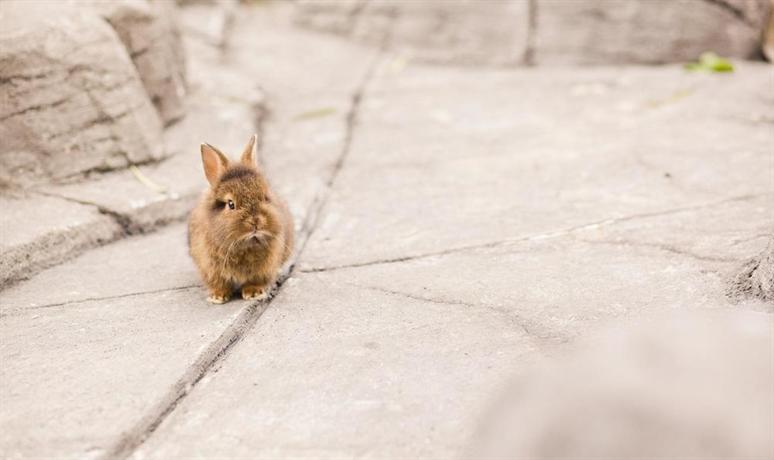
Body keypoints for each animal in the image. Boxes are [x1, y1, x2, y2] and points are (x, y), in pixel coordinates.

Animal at [189, 135, 296, 304]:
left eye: (264, 197)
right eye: (231, 204)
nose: (256, 221)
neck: (244, 243)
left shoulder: (264, 269)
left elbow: (256, 281)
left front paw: (253, 293)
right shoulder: (210, 267)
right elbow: (218, 283)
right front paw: (217, 297)